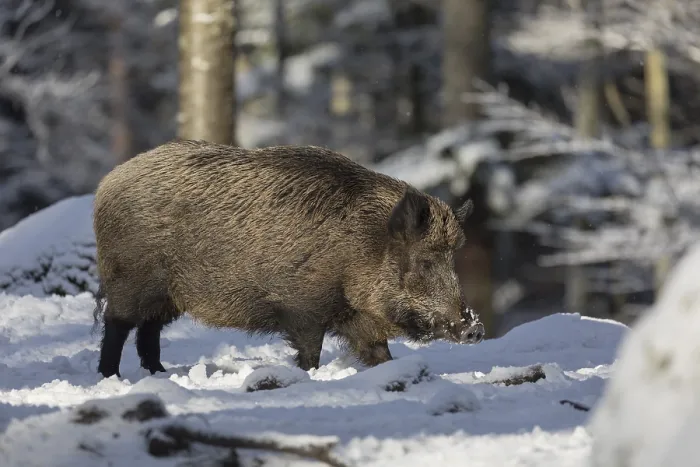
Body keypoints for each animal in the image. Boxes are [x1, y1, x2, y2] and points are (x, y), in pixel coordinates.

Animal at [91, 140, 484, 378]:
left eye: (452, 261)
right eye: (426, 262)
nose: (475, 328)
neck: (361, 247)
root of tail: (107, 182)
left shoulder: (358, 319)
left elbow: (378, 354)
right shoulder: (303, 307)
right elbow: (310, 353)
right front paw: (308, 376)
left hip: (167, 296)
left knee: (149, 330)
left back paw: (159, 373)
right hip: (131, 279)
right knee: (117, 324)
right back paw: (111, 376)